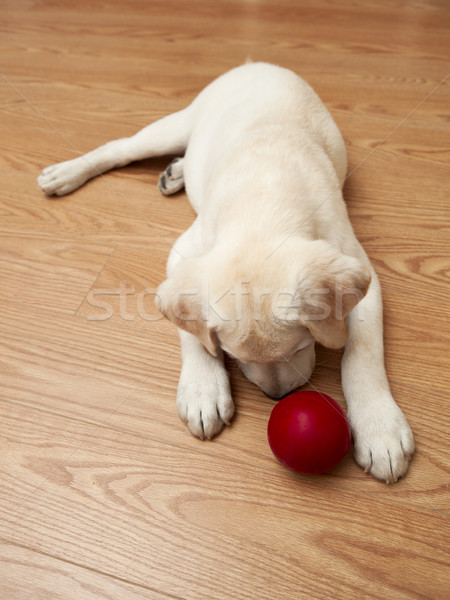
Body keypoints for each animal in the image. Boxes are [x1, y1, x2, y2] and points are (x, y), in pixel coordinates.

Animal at [38, 61, 414, 482]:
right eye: (232, 354)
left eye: (303, 346)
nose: (278, 397)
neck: (263, 204)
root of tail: (258, 63)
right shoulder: (183, 255)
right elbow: (191, 331)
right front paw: (203, 390)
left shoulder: (359, 269)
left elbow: (364, 352)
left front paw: (380, 428)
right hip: (175, 125)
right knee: (120, 147)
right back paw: (67, 173)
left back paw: (176, 171)